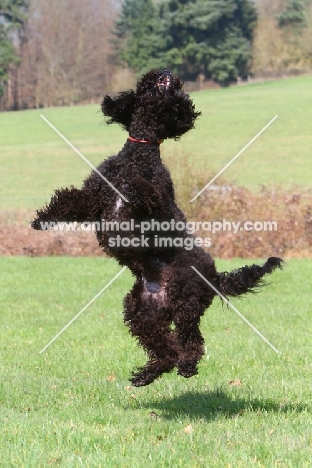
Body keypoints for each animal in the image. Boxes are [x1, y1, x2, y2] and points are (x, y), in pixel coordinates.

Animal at [32, 68, 282, 384]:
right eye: (147, 83)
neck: (139, 154)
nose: (164, 72)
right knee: (166, 349)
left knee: (191, 342)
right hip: (142, 311)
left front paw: (134, 184)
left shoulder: (156, 205)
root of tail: (215, 277)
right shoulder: (93, 198)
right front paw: (40, 220)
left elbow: (145, 191)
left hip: (184, 299)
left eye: (178, 93)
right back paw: (146, 374)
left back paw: (186, 366)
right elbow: (67, 201)